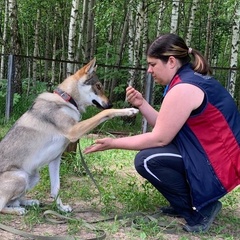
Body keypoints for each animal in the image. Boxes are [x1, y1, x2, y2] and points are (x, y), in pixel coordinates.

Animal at [0, 58, 139, 216]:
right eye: (98, 86)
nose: (110, 103)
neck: (67, 99)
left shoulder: (55, 159)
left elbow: (56, 188)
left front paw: (61, 208)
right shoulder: (73, 131)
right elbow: (104, 113)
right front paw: (129, 110)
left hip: (34, 177)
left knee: (14, 201)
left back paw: (30, 202)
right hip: (21, 177)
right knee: (2, 206)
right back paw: (19, 210)